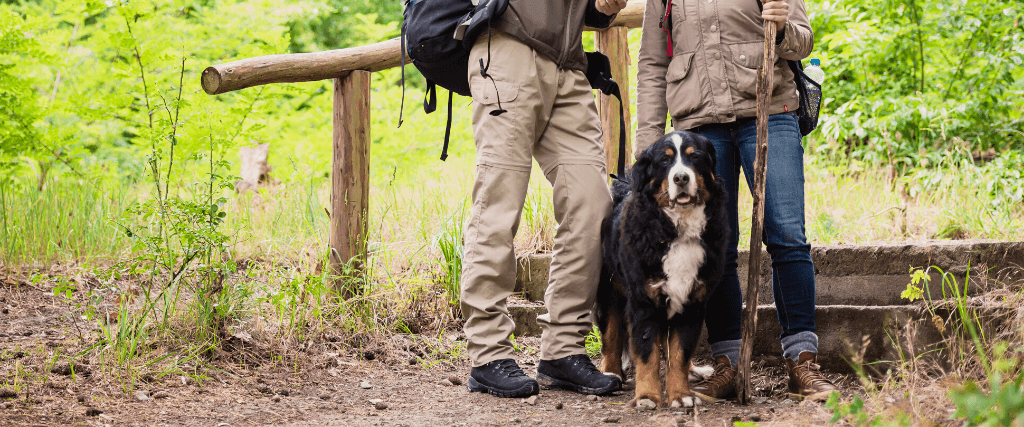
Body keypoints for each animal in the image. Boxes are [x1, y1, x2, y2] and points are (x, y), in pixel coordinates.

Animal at [598, 130, 733, 409]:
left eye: (695, 157)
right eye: (665, 161)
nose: (681, 177)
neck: (678, 231)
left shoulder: (693, 301)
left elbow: (679, 353)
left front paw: (680, 395)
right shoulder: (644, 301)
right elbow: (647, 353)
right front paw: (647, 396)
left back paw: (694, 370)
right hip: (609, 290)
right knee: (611, 334)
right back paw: (611, 372)